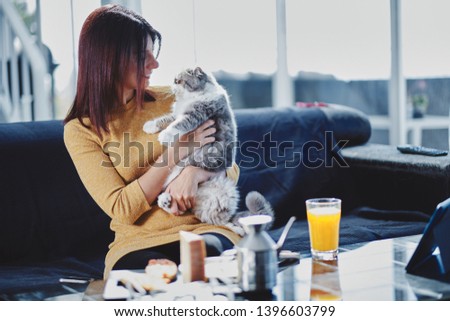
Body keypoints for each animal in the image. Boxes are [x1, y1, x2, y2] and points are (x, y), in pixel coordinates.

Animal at [142, 66, 272, 234]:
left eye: (178, 80)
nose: (172, 86)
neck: (191, 98)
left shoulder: (197, 113)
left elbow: (178, 125)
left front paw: (164, 136)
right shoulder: (178, 114)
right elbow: (166, 119)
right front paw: (150, 126)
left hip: (226, 190)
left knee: (221, 219)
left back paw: (239, 230)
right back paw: (165, 201)